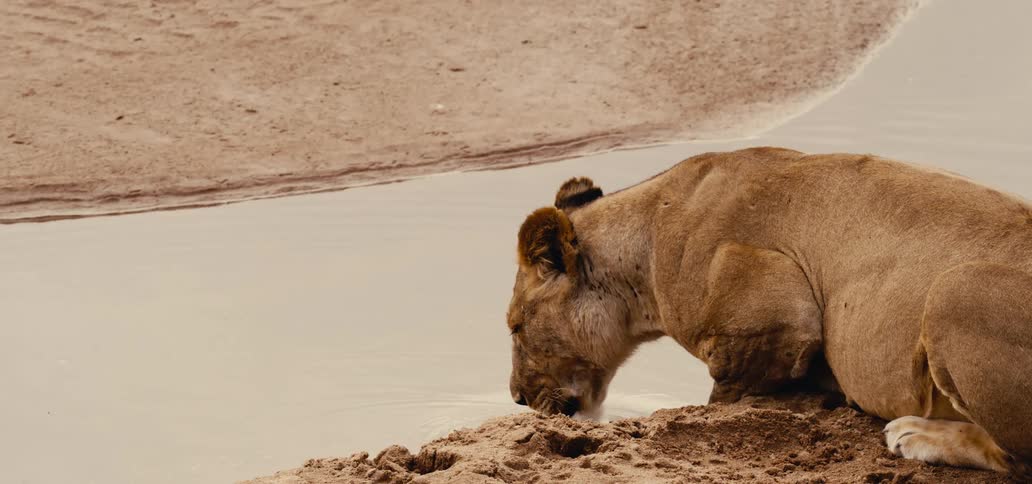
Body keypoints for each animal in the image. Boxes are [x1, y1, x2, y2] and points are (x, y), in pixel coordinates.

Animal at [505, 147, 1032, 475]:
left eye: (514, 327)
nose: (515, 397)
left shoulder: (780, 319)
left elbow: (724, 398)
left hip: (955, 288)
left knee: (1017, 459)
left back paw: (916, 435)